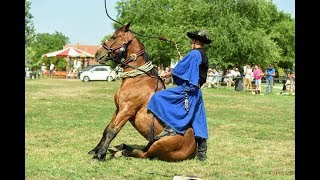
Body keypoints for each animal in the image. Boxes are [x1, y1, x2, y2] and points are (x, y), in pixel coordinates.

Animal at [89, 22, 196, 162]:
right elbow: (107, 129)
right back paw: (120, 148)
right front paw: (96, 150)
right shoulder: (118, 109)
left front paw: (100, 155)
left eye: (113, 37)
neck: (138, 79)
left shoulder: (126, 110)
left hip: (158, 144)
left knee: (142, 154)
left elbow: (112, 131)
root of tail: (193, 149)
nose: (97, 54)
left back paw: (121, 151)